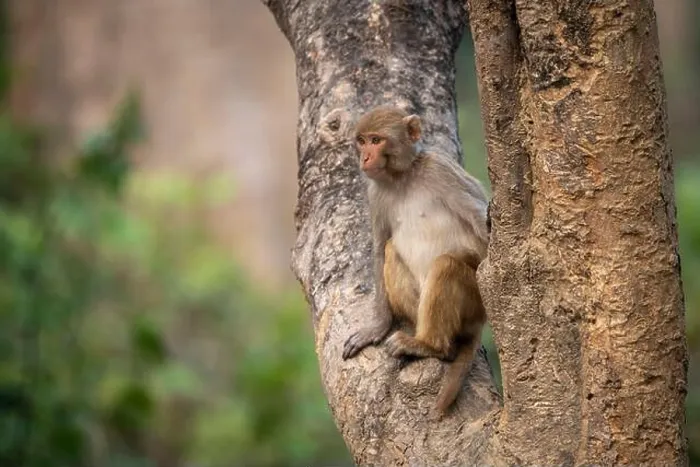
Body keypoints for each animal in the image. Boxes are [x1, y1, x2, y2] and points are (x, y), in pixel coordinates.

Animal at [341, 105, 489, 415]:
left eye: (376, 140)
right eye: (362, 141)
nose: (365, 157)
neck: (403, 176)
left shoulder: (441, 170)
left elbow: (481, 222)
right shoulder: (375, 193)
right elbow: (378, 248)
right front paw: (378, 327)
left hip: (474, 300)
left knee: (447, 265)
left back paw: (432, 345)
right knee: (390, 250)